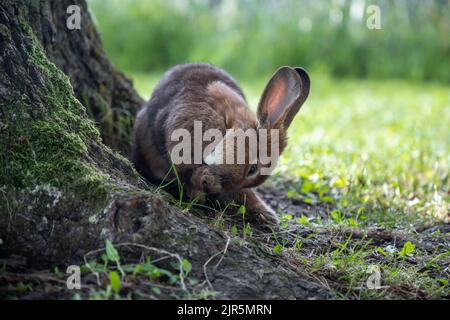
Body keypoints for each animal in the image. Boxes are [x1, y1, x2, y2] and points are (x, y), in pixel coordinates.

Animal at [132, 62, 312, 226]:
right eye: (253, 168)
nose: (213, 188)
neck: (229, 126)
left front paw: (267, 216)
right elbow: (184, 168)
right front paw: (201, 187)